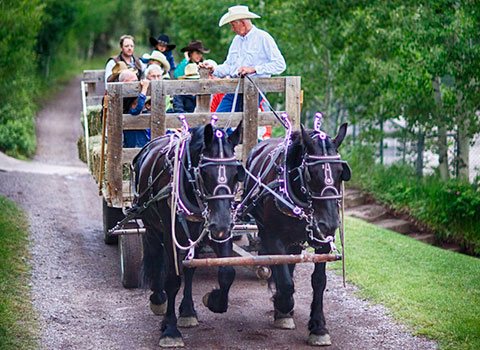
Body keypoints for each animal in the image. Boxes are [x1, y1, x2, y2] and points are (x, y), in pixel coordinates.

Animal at [131, 121, 244, 348]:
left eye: (236, 174)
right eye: (204, 173)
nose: (221, 222)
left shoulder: (216, 230)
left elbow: (227, 272)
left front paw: (214, 300)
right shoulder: (171, 233)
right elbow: (173, 279)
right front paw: (170, 330)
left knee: (190, 269)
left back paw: (187, 311)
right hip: (152, 225)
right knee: (157, 255)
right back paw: (158, 299)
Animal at [244, 121, 348, 346]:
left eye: (340, 172)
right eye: (311, 174)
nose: (329, 223)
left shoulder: (323, 240)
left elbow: (319, 281)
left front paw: (318, 327)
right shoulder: (274, 236)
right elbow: (284, 280)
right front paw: (283, 307)